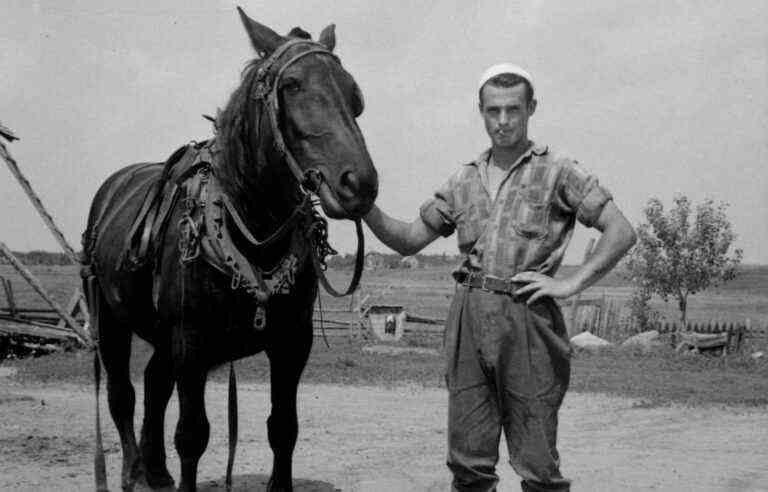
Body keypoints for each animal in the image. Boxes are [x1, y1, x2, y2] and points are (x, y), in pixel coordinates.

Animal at [81, 8, 378, 492]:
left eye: (353, 93)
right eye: (291, 85)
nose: (359, 184)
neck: (251, 234)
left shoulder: (292, 343)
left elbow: (284, 428)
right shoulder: (191, 346)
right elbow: (192, 436)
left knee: (154, 384)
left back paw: (155, 470)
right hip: (112, 322)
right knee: (122, 395)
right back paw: (132, 472)